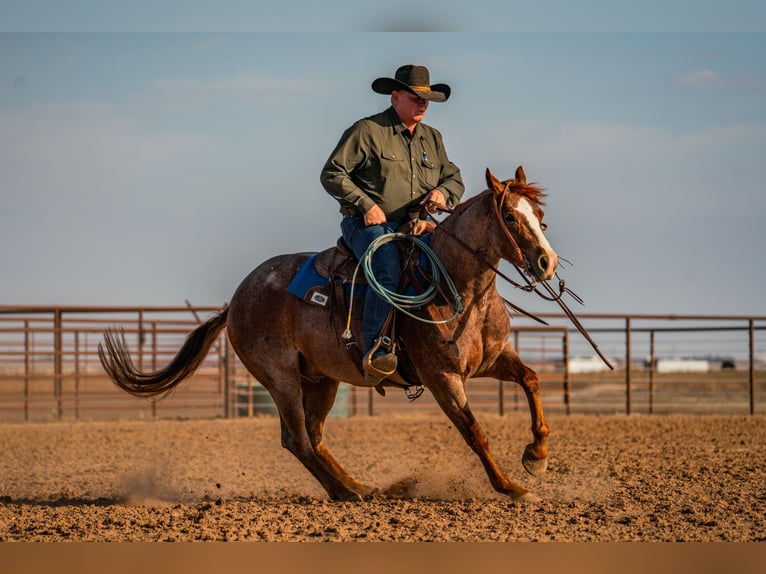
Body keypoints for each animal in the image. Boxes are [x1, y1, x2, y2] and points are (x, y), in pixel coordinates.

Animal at [99, 166, 558, 502]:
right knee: (298, 439)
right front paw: (512, 488)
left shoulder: (494, 360)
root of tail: (237, 299)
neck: (458, 289)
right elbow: (475, 432)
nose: (546, 261)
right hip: (280, 377)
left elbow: (532, 380)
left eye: (541, 218)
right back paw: (346, 491)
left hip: (321, 379)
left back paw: (358, 486)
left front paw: (536, 456)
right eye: (511, 216)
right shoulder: (442, 378)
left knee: (316, 437)